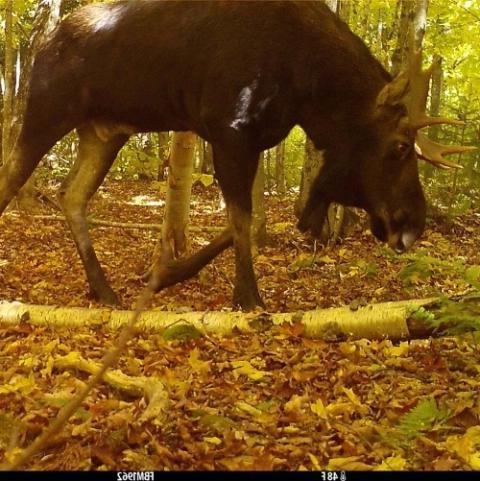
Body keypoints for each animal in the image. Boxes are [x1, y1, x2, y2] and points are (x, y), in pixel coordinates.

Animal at [0, 0, 472, 310]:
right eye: (399, 146)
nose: (414, 222)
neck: (307, 90)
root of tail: (42, 44)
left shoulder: (254, 141)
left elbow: (251, 218)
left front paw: (163, 274)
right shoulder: (229, 129)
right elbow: (243, 219)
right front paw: (248, 296)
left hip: (104, 131)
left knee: (71, 193)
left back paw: (103, 289)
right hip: (47, 111)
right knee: (12, 177)